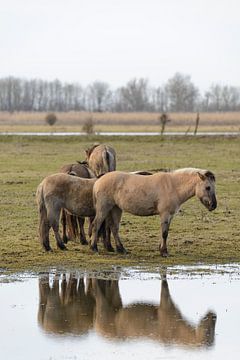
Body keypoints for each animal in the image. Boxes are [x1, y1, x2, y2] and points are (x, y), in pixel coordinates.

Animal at [90, 168, 218, 256]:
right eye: (207, 187)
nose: (213, 205)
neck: (173, 186)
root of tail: (99, 180)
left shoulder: (170, 216)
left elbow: (165, 232)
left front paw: (161, 249)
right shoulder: (165, 214)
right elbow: (164, 233)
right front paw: (164, 252)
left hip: (116, 209)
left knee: (114, 228)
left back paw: (121, 249)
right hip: (104, 208)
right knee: (96, 225)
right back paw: (94, 248)